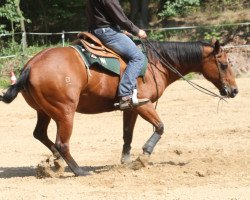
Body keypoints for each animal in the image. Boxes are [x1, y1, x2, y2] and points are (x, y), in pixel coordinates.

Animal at [0, 38, 238, 175]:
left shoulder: (131, 107)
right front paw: (143, 157)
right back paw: (78, 170)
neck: (155, 63)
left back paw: (56, 163)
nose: (234, 91)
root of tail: (31, 66)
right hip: (65, 113)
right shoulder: (144, 105)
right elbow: (160, 127)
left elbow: (127, 134)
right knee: (62, 143)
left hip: (44, 111)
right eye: (224, 64)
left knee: (40, 134)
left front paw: (126, 160)